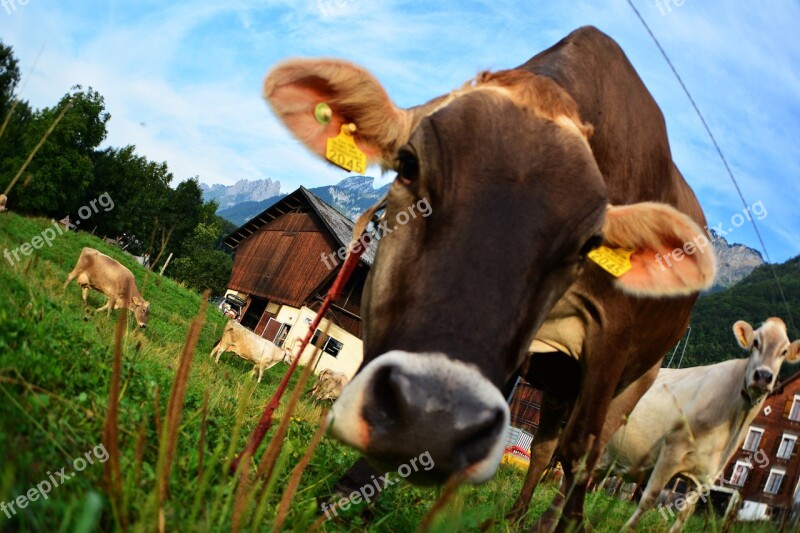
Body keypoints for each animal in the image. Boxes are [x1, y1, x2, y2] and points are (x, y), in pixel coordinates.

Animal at [266, 26, 716, 528]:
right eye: (408, 165)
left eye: (588, 244)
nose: (434, 419)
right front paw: (351, 491)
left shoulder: (613, 338)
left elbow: (580, 448)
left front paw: (561, 525)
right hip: (558, 382)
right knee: (544, 448)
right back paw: (517, 514)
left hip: (640, 377)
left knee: (588, 454)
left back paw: (556, 518)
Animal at [596, 318, 796, 528]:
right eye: (755, 342)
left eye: (784, 351)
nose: (763, 376)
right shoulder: (671, 450)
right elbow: (649, 499)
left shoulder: (705, 476)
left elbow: (685, 513)